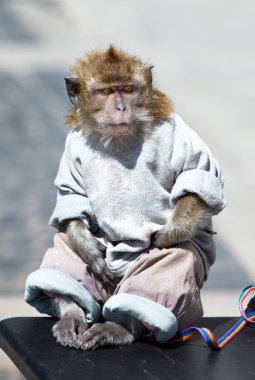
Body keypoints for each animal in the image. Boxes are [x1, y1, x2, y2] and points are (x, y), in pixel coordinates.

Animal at [23, 44, 223, 350]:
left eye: (127, 89)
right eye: (106, 92)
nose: (120, 107)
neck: (120, 139)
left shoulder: (177, 132)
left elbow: (198, 176)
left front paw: (168, 234)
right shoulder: (72, 148)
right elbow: (73, 199)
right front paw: (91, 254)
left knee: (176, 257)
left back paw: (120, 327)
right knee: (64, 245)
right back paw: (72, 315)